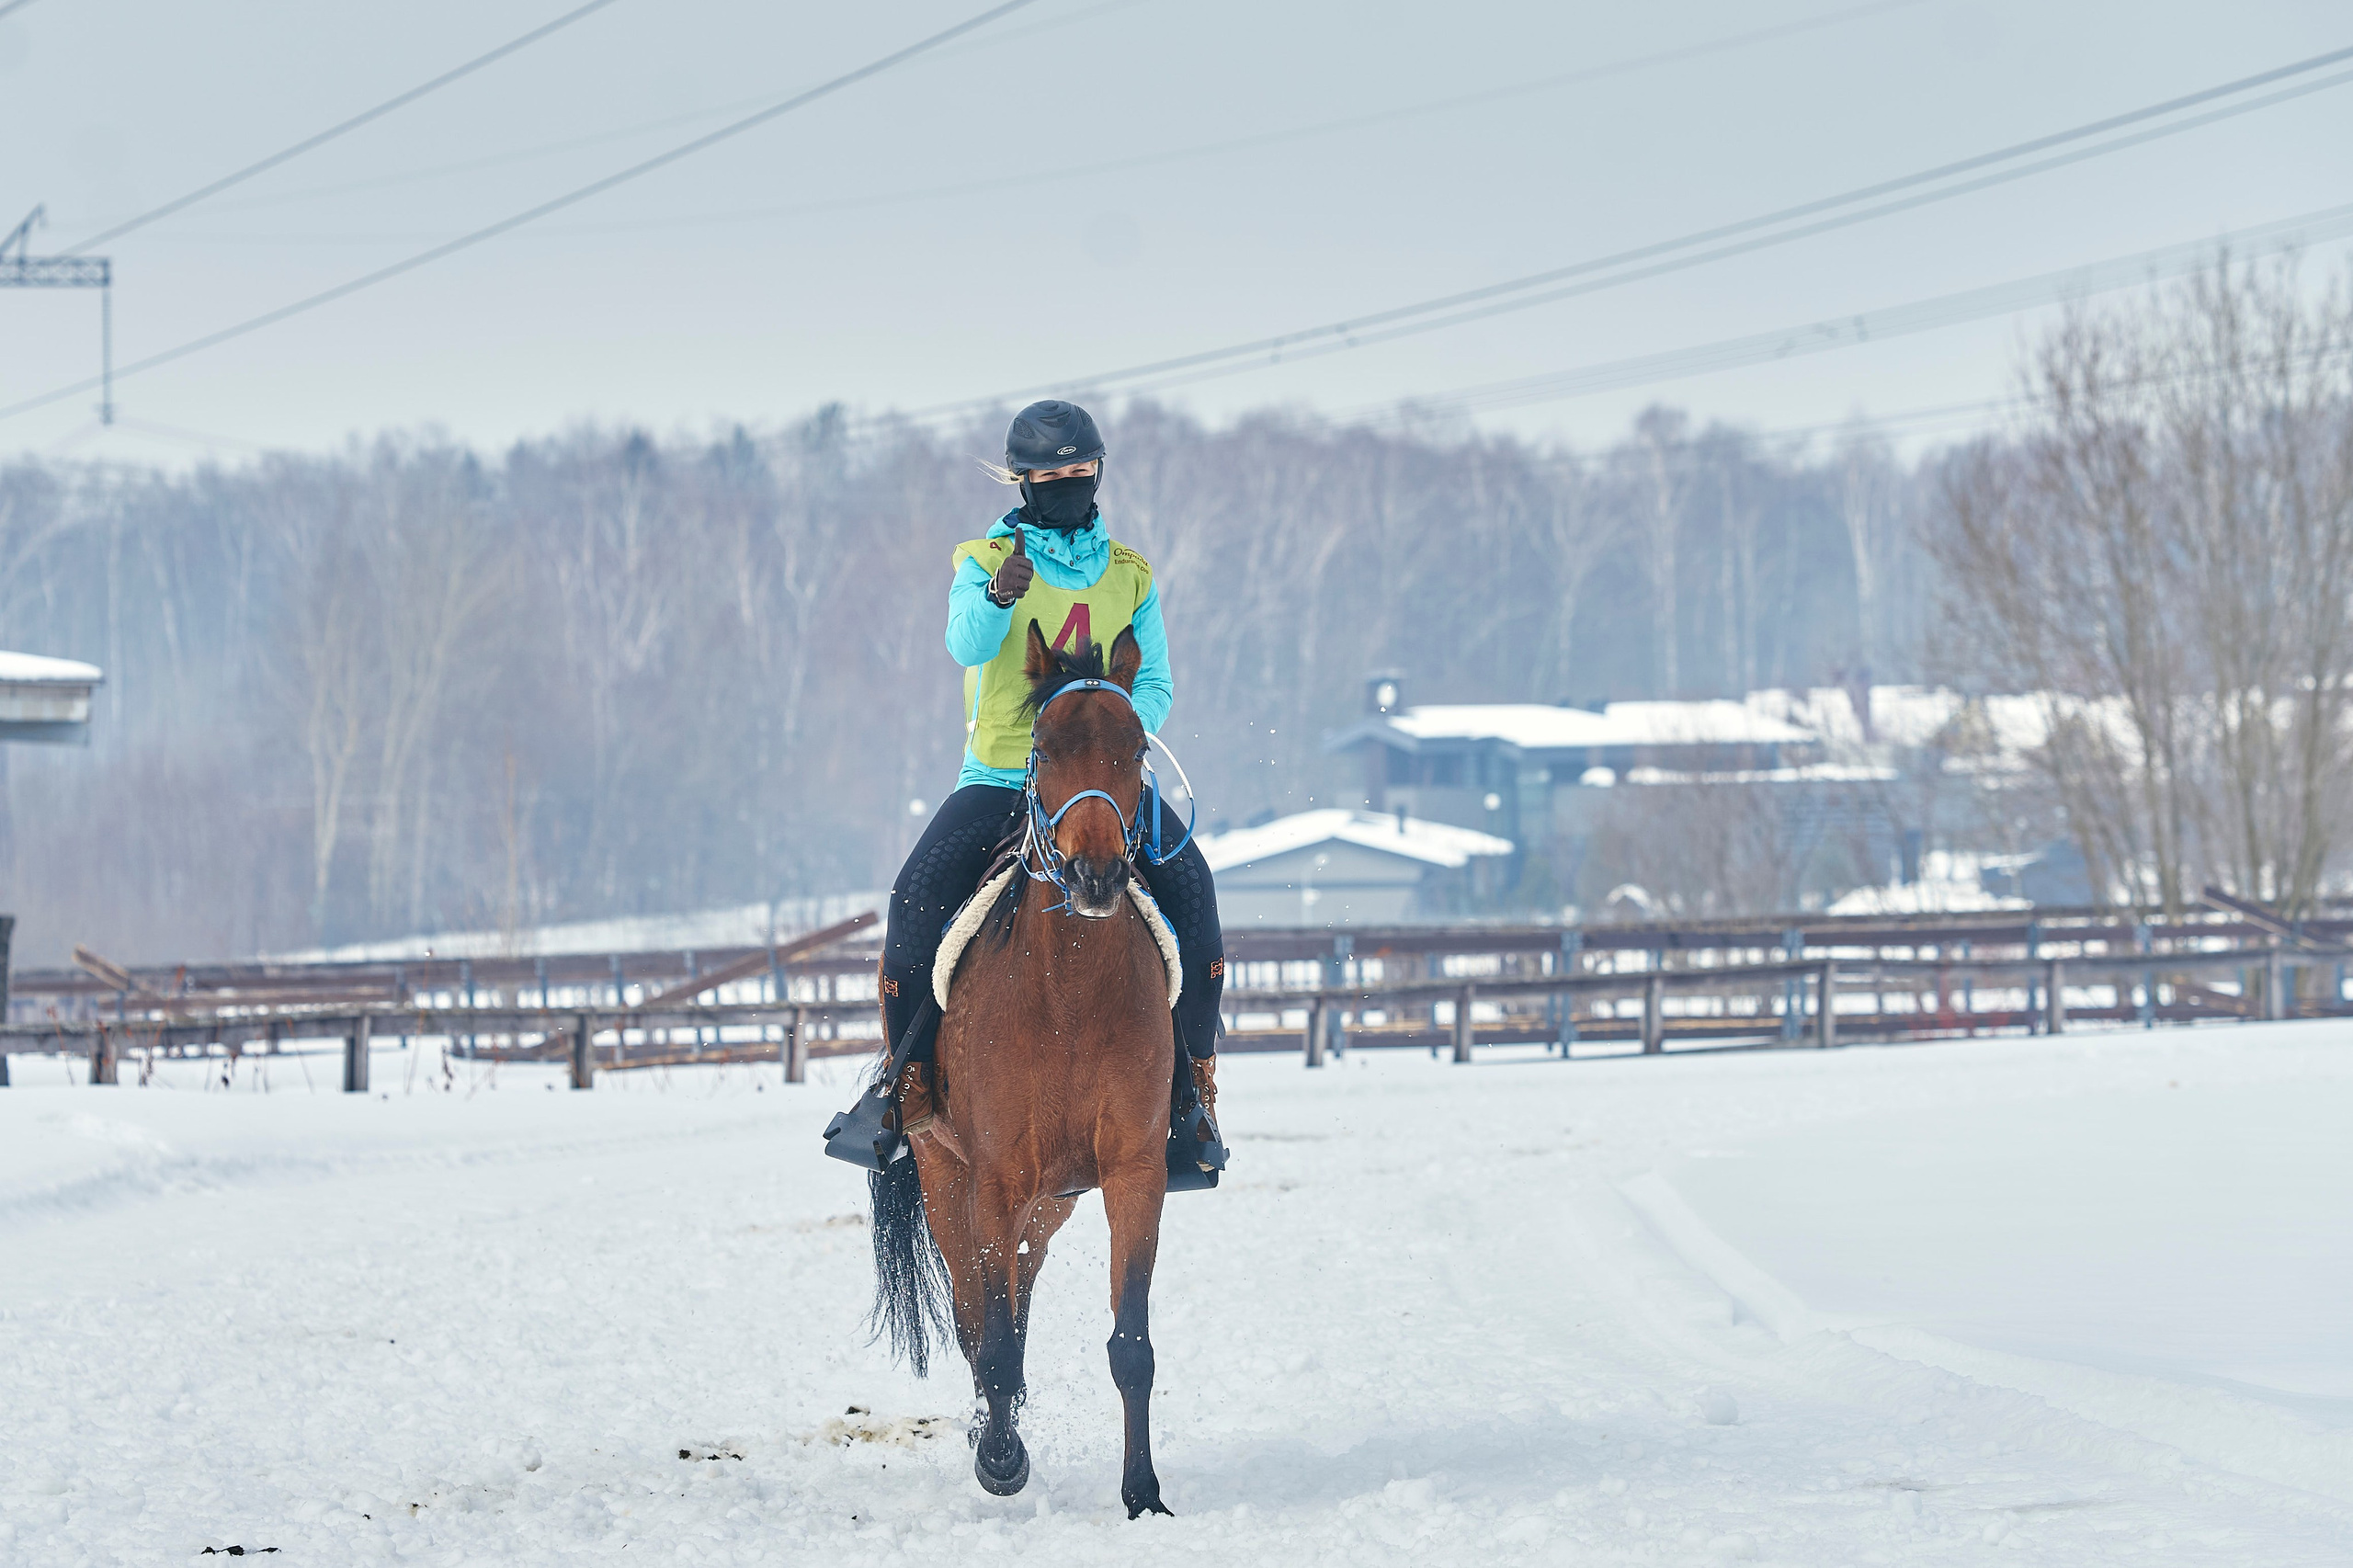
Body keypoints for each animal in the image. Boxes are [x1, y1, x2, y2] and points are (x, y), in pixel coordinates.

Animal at [867, 619, 1184, 1518]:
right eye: (1040, 747)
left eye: (1135, 746)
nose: (1095, 874)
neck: (1069, 993)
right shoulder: (995, 1181)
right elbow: (994, 1341)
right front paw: (1001, 1460)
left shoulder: (1134, 1172)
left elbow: (1132, 1344)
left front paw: (1143, 1493)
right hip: (948, 1181)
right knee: (977, 1316)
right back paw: (991, 1435)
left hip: (1052, 1206)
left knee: (1015, 1292)